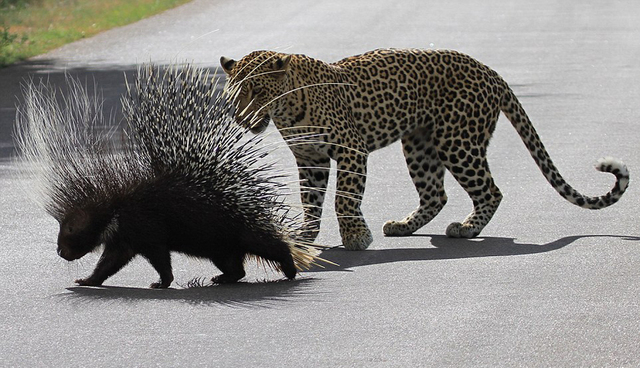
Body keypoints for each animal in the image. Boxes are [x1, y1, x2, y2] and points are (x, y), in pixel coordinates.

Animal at [220, 49, 632, 250]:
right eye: (235, 92)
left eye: (258, 91)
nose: (241, 117)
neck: (288, 110)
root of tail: (491, 71)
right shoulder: (311, 159)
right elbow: (310, 200)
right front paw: (304, 236)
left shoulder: (351, 149)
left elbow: (344, 199)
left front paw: (355, 238)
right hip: (419, 144)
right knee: (436, 193)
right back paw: (403, 226)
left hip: (457, 141)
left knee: (490, 190)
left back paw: (466, 229)